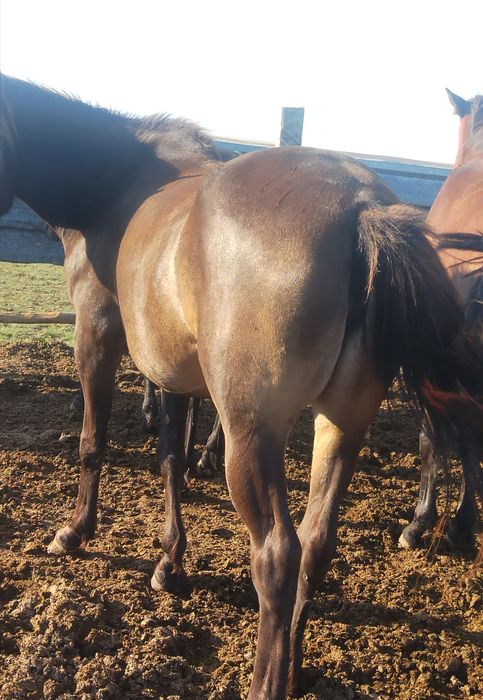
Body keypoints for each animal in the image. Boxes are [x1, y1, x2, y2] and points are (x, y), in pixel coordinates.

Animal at [1, 75, 482, 699]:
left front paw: (75, 532)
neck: (118, 184)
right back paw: (295, 669)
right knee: (317, 543)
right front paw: (169, 562)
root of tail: (362, 211)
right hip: (342, 424)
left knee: (278, 555)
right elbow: (170, 458)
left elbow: (94, 444)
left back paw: (266, 681)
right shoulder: (173, 368)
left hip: (252, 434)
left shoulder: (95, 335)